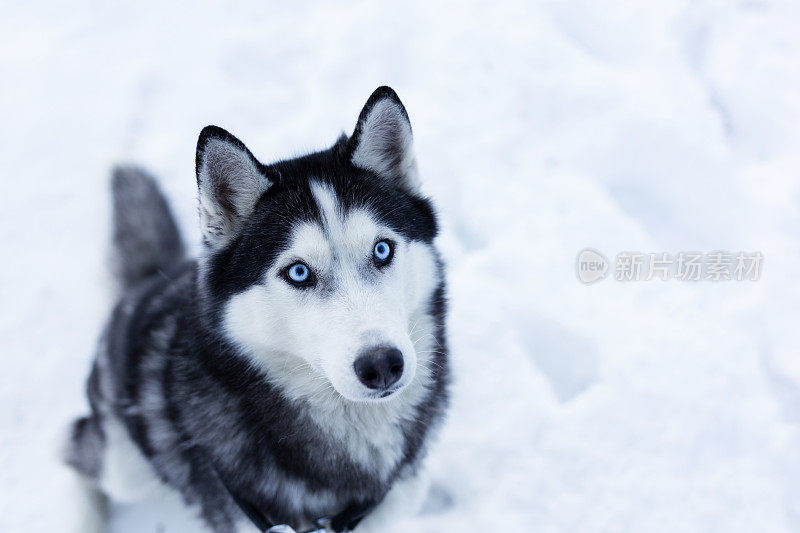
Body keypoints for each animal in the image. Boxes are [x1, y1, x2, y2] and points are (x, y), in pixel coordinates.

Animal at [62, 85, 450, 528]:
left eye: (382, 249)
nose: (382, 364)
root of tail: (153, 277)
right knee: (76, 446)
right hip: (125, 464)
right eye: (298, 272)